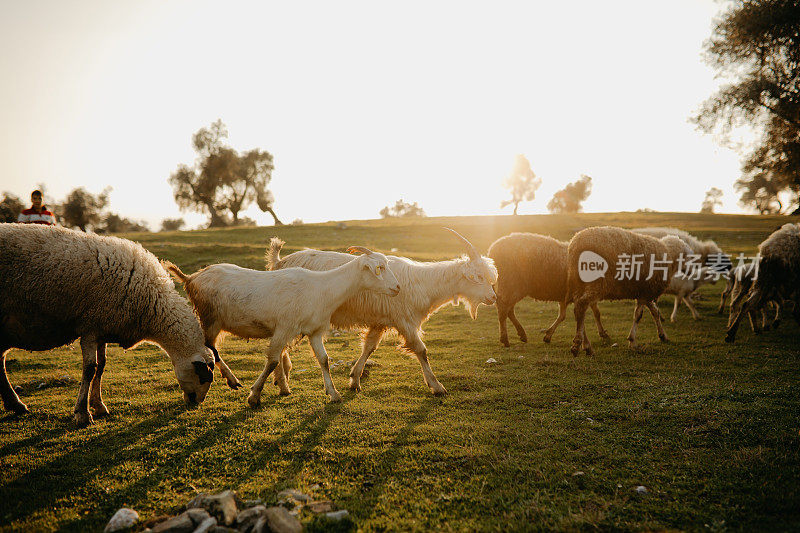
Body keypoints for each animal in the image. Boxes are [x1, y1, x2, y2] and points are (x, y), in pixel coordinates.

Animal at [0, 222, 219, 426]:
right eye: (204, 376)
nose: (196, 402)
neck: (152, 304)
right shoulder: (90, 326)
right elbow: (90, 368)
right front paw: (82, 413)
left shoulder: (102, 328)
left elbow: (102, 366)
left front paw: (99, 406)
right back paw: (16, 404)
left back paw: (15, 405)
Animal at [165, 245, 400, 404]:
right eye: (379, 267)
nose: (397, 288)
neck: (323, 287)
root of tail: (191, 278)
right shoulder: (284, 328)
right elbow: (272, 361)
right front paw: (255, 395)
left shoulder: (314, 331)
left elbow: (324, 360)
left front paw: (333, 393)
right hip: (209, 318)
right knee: (211, 349)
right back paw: (232, 380)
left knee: (212, 349)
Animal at [266, 228, 496, 394]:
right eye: (479, 277)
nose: (493, 298)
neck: (423, 283)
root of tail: (279, 262)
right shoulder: (404, 320)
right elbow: (421, 350)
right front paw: (436, 386)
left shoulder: (381, 321)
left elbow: (369, 347)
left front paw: (354, 379)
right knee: (279, 348)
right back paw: (283, 384)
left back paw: (282, 378)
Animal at [564, 225, 692, 356]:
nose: (691, 272)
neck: (668, 256)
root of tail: (575, 244)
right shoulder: (646, 293)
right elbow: (638, 316)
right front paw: (632, 341)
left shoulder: (645, 292)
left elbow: (655, 312)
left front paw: (662, 336)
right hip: (595, 282)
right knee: (581, 306)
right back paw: (579, 345)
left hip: (579, 283)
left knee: (578, 309)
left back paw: (585, 345)